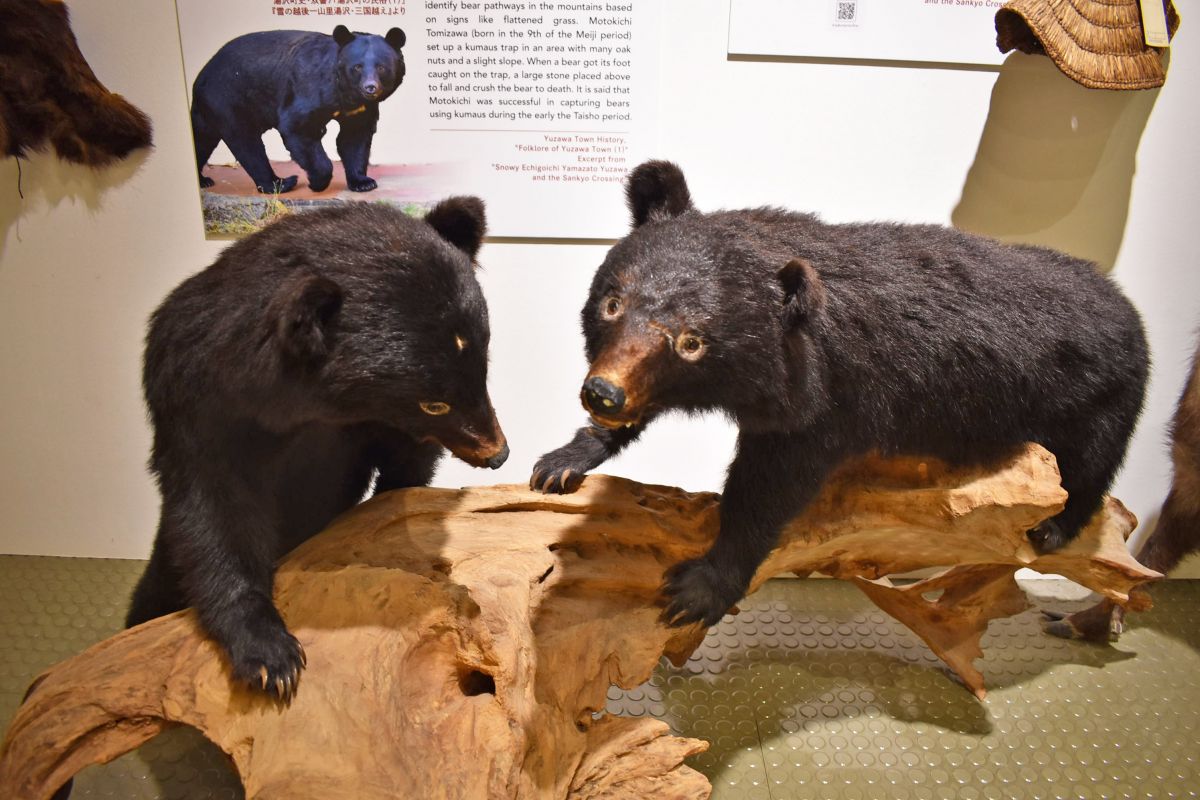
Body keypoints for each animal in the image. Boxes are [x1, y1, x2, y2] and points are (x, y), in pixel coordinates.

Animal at [130, 196, 506, 695]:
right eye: (434, 402)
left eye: (483, 370)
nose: (498, 453)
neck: (301, 412)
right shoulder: (196, 408)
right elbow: (213, 512)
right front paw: (271, 658)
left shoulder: (370, 424)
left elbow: (406, 461)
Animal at [192, 25, 405, 194]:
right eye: (357, 67)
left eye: (381, 67)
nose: (370, 88)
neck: (345, 93)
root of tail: (202, 73)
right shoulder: (308, 90)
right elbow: (298, 127)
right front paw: (317, 182)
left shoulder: (359, 110)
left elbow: (354, 137)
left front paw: (363, 183)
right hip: (229, 98)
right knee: (246, 142)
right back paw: (281, 183)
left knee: (203, 139)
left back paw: (203, 180)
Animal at [530, 159, 1147, 628]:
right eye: (613, 303)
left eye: (692, 343)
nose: (603, 393)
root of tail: (1130, 310)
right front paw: (567, 457)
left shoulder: (830, 400)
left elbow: (770, 487)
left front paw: (701, 585)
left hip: (1101, 398)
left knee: (1090, 465)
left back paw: (1054, 527)